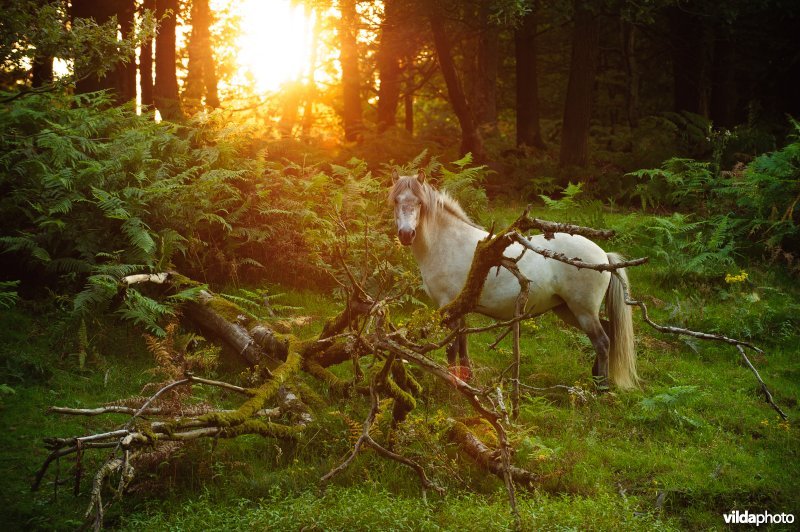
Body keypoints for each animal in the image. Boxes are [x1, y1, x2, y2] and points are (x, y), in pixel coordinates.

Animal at [388, 169, 638, 389]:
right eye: (396, 201)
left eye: (419, 203)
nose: (406, 234)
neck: (447, 243)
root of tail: (603, 256)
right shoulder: (461, 307)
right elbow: (463, 344)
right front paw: (467, 378)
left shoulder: (448, 307)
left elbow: (452, 347)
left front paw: (453, 383)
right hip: (568, 310)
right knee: (607, 333)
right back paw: (596, 378)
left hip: (582, 310)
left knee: (603, 342)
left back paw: (601, 388)